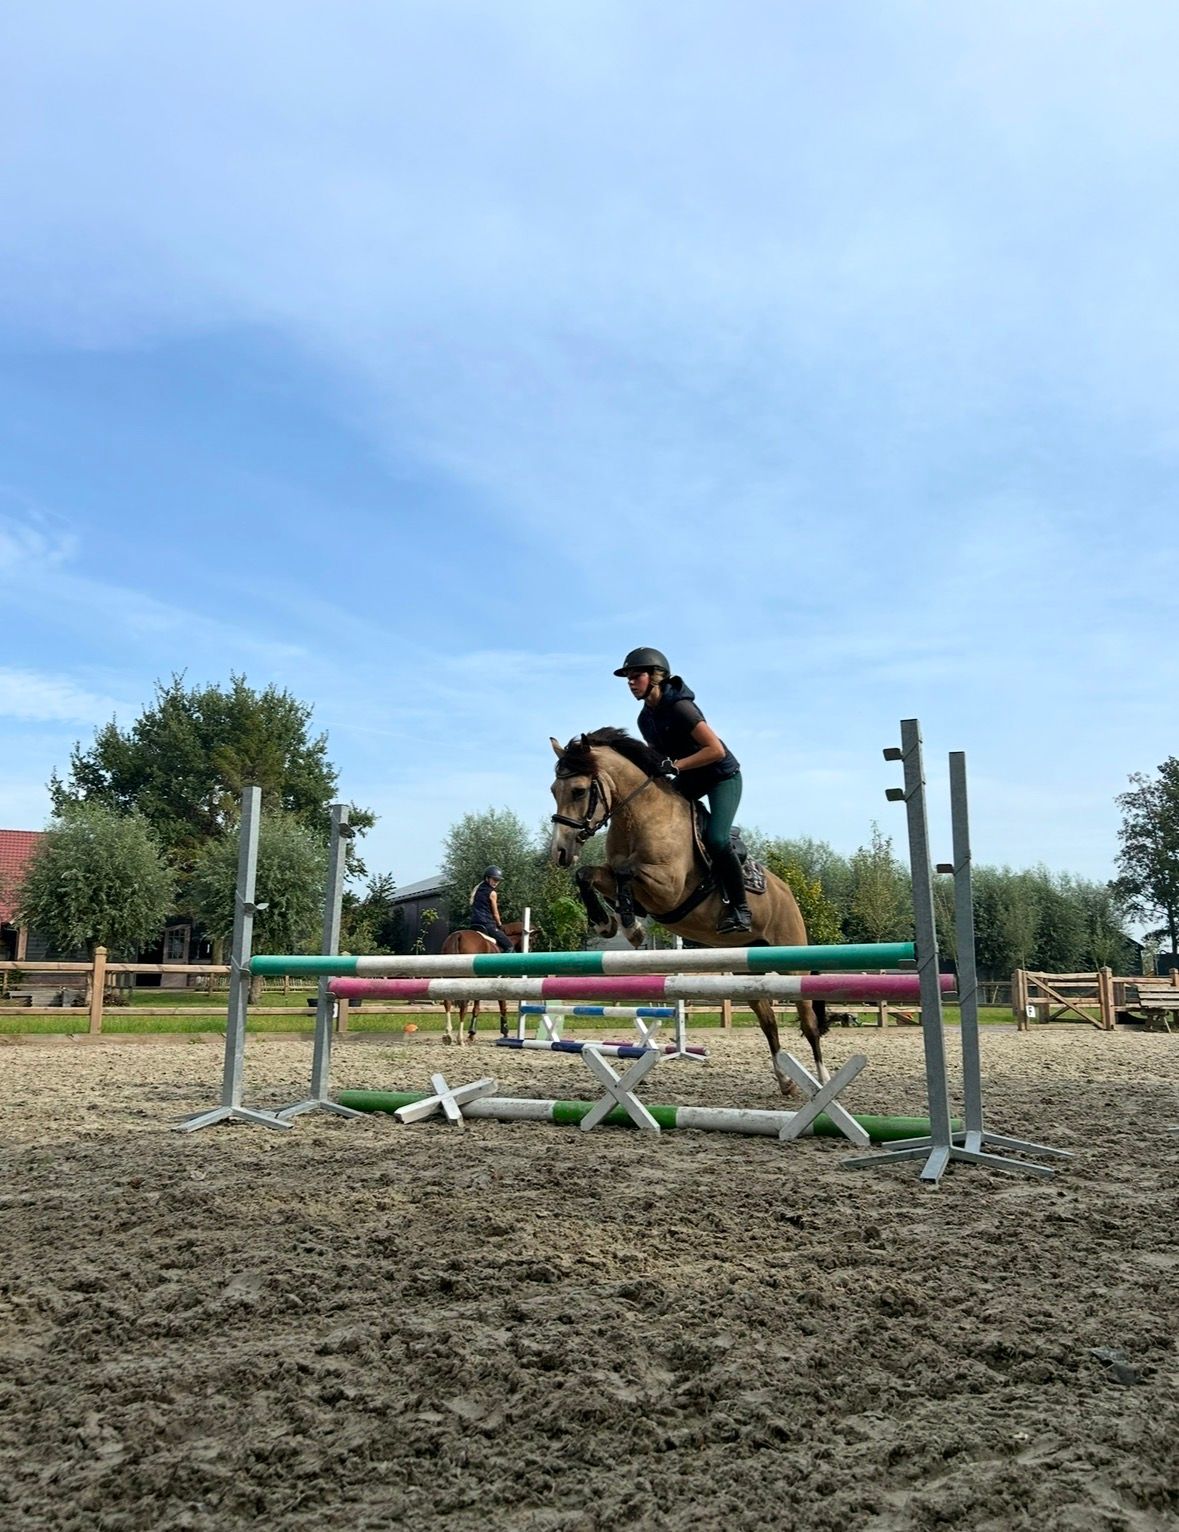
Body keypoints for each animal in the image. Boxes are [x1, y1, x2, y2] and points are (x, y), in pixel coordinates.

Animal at [548, 727, 830, 1097]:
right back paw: (785, 1081)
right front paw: (607, 922)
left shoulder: (667, 888)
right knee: (767, 1020)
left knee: (808, 1021)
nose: (560, 852)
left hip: (792, 962)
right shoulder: (626, 883)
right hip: (746, 968)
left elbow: (625, 872)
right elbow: (588, 875)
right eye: (554, 790)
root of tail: (789, 894)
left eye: (579, 790)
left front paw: (630, 926)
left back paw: (824, 1082)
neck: (639, 816)